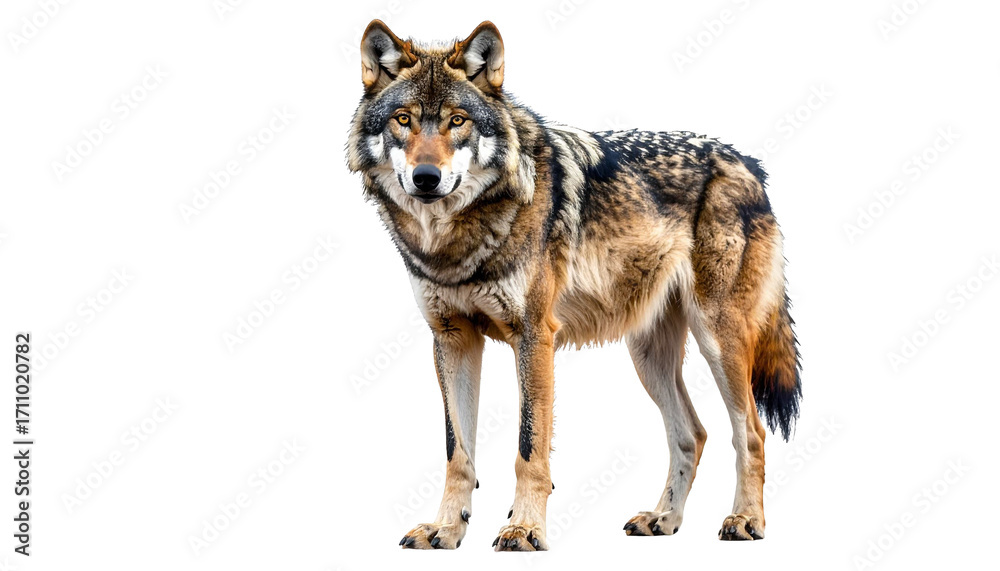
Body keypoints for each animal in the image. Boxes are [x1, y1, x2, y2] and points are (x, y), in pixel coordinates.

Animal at [347, 20, 801, 551]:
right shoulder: (453, 338)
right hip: (647, 357)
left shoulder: (534, 336)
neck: (455, 241)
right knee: (693, 433)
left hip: (718, 341)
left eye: (457, 121)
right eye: (404, 120)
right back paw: (663, 519)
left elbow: (529, 448)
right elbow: (457, 452)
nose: (425, 177)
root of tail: (749, 164)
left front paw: (524, 529)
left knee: (751, 432)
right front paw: (446, 528)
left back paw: (746, 520)